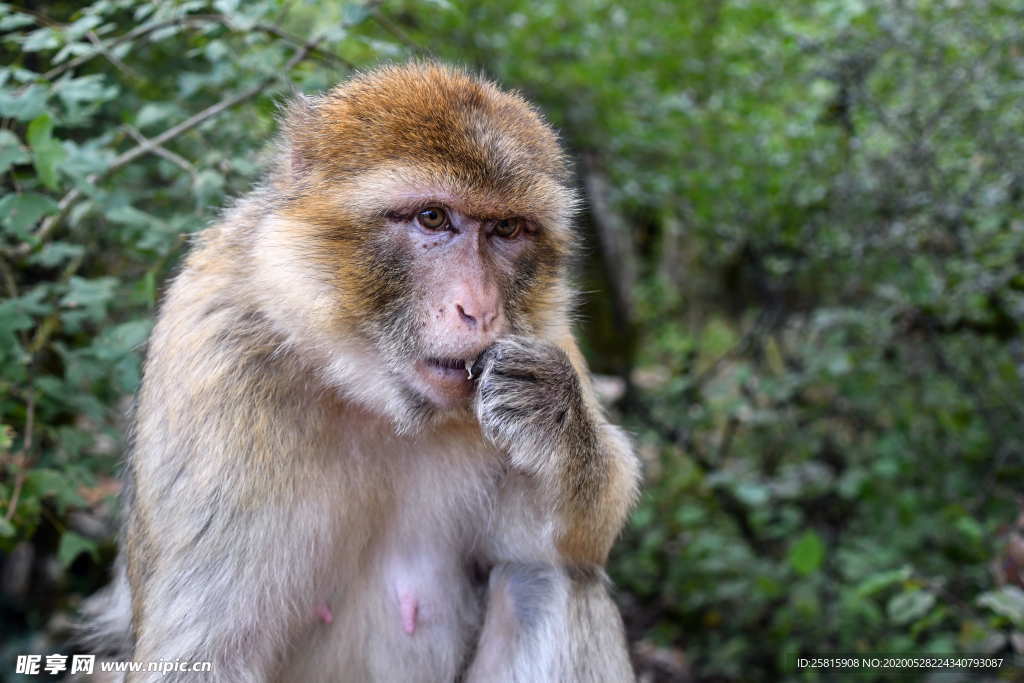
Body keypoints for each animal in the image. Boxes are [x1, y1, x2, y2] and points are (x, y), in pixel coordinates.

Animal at [81, 61, 638, 679]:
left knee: (546, 578)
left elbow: (568, 542)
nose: (480, 309)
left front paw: (553, 413)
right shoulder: (214, 364)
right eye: (432, 218)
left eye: (507, 230)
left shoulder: (547, 330)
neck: (369, 392)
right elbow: (206, 653)